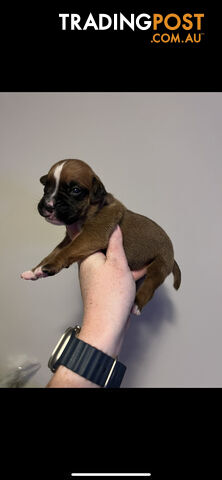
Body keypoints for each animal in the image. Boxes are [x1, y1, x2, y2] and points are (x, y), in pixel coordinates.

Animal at [20, 159, 181, 314]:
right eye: (46, 188)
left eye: (75, 190)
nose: (48, 205)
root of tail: (172, 257)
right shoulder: (69, 239)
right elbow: (54, 252)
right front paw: (35, 270)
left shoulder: (91, 236)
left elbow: (67, 250)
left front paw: (49, 266)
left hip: (159, 265)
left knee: (150, 287)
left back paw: (136, 305)